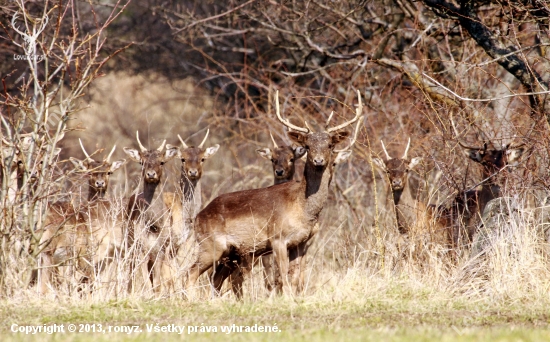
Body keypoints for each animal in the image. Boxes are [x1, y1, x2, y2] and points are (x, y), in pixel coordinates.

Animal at [185, 89, 364, 298]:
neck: (302, 207)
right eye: (308, 146)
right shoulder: (278, 238)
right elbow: (284, 277)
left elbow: (296, 278)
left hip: (230, 253)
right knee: (191, 272)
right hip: (210, 245)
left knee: (215, 279)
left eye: (329, 145)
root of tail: (198, 218)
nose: (319, 161)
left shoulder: (300, 243)